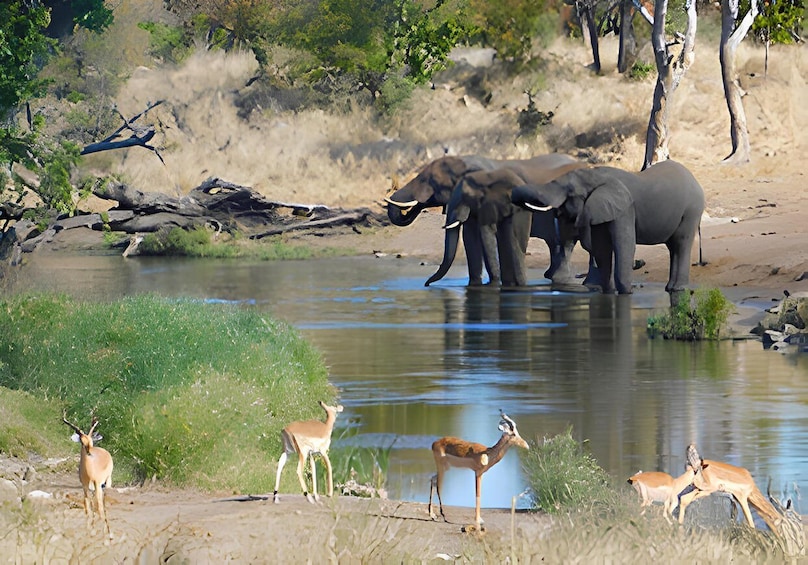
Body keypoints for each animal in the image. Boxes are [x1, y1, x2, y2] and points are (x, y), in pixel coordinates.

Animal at [510, 160, 705, 296]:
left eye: (570, 193)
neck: (597, 176)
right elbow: (601, 249)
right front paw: (608, 292)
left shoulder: (625, 209)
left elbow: (624, 246)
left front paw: (626, 293)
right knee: (673, 248)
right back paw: (670, 288)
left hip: (691, 210)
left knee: (681, 243)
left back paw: (678, 289)